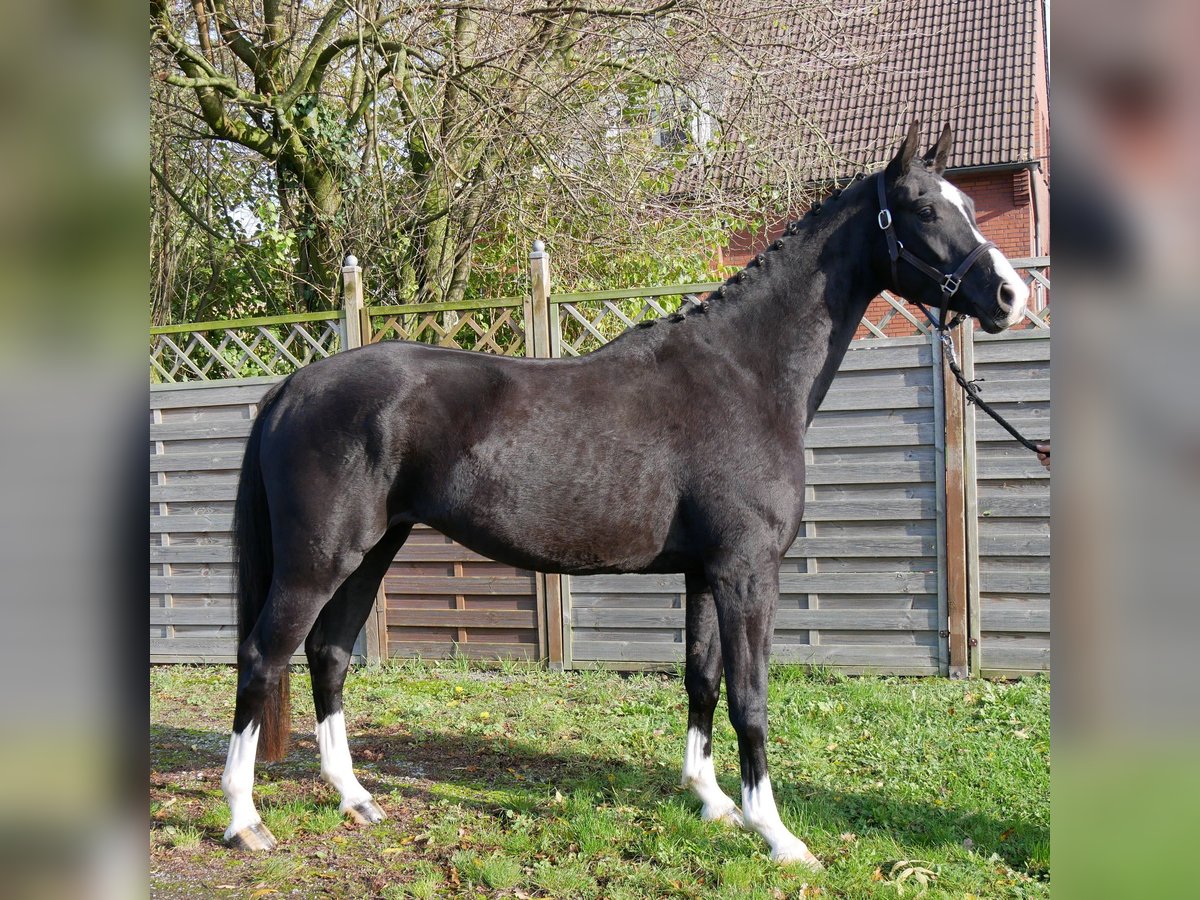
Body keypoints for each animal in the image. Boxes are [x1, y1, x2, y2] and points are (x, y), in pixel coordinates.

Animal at [223, 127, 1022, 868]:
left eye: (967, 203)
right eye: (924, 208)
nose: (1010, 295)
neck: (745, 375)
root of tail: (293, 386)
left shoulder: (705, 572)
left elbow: (701, 681)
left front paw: (711, 802)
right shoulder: (747, 571)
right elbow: (750, 698)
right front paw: (776, 834)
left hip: (370, 552)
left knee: (328, 655)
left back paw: (355, 798)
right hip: (318, 561)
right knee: (263, 656)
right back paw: (244, 819)